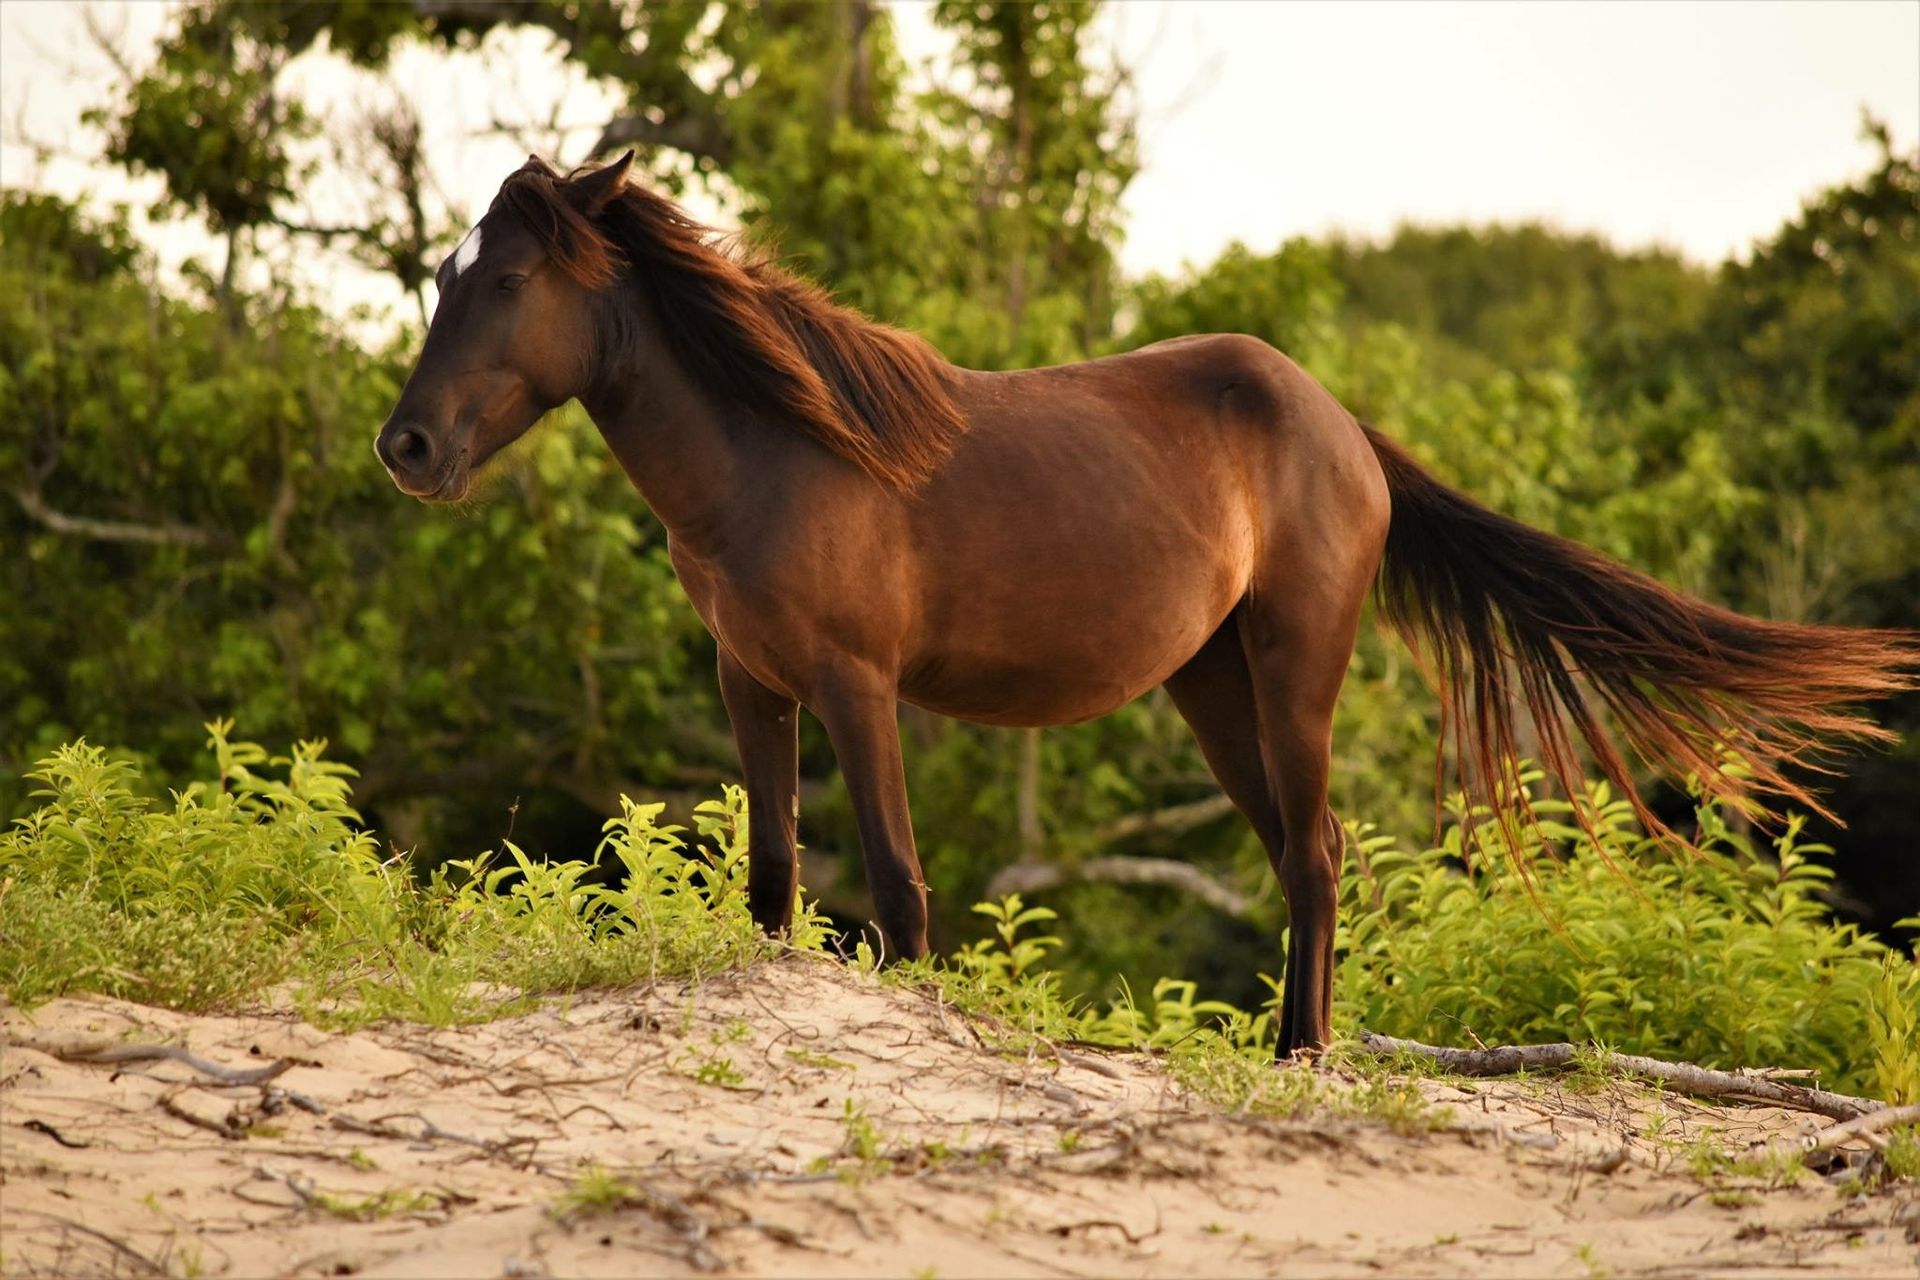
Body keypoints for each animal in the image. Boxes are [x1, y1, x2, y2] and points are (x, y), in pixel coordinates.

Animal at [375, 153, 1917, 1055]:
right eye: (449, 271)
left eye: (510, 276)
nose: (410, 449)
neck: (778, 451)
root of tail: (1343, 428)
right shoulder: (753, 688)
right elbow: (771, 887)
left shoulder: (859, 689)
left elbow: (899, 888)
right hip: (1214, 688)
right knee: (1308, 851)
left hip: (1293, 677)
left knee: (1317, 853)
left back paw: (1303, 1059)